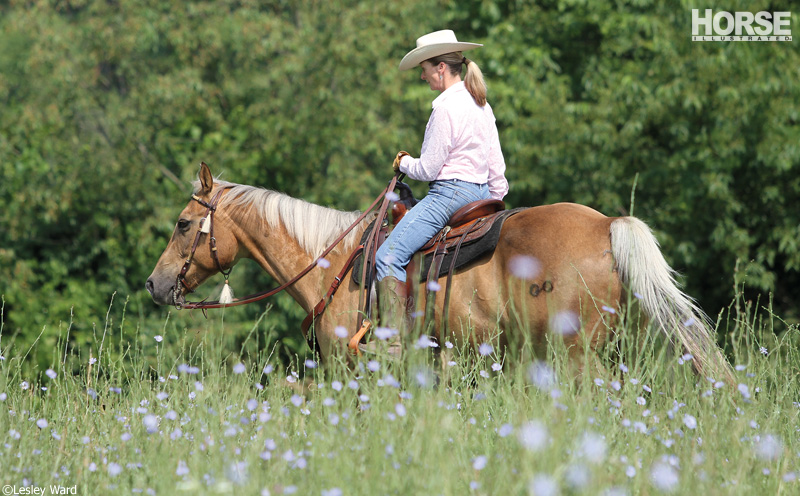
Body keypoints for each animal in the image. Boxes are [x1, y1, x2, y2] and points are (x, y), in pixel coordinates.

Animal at [147, 163, 736, 384]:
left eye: (182, 224)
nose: (155, 284)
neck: (335, 263)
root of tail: (607, 225)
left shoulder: (349, 370)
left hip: (574, 358)